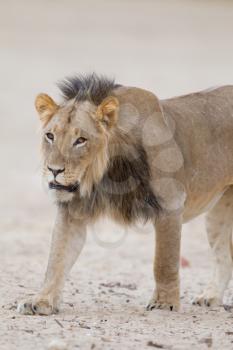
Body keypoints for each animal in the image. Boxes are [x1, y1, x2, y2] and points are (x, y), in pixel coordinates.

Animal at [17, 72, 233, 316]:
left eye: (80, 140)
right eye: (50, 136)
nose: (54, 170)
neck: (104, 173)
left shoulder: (170, 203)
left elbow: (164, 262)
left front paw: (164, 303)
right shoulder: (72, 211)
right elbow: (57, 258)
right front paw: (41, 301)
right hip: (218, 215)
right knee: (224, 257)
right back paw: (211, 296)